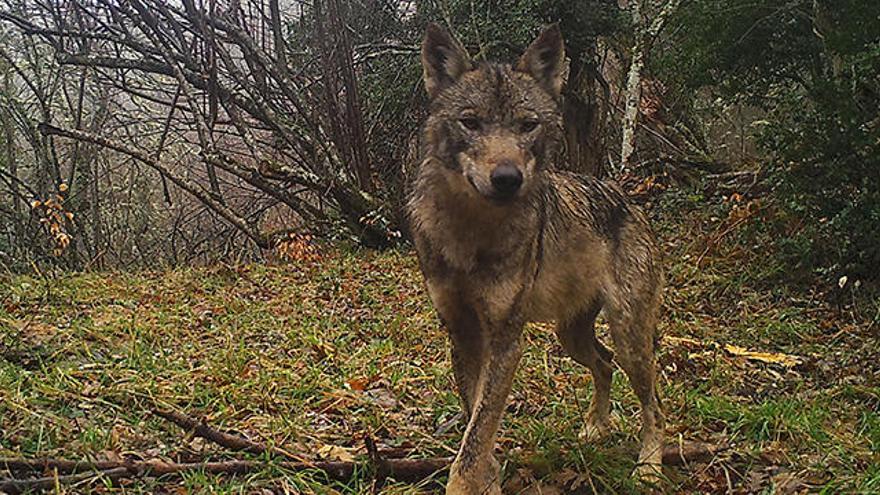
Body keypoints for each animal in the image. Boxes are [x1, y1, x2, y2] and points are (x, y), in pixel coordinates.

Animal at [410, 24, 664, 495]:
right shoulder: (463, 333)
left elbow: (478, 431)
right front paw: (489, 478)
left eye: (528, 125)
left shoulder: (506, 339)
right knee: (604, 365)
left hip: (629, 335)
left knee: (653, 401)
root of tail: (627, 198)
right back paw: (595, 428)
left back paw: (649, 467)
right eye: (470, 122)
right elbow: (477, 420)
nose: (507, 178)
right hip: (572, 336)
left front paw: (468, 481)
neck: (472, 232)